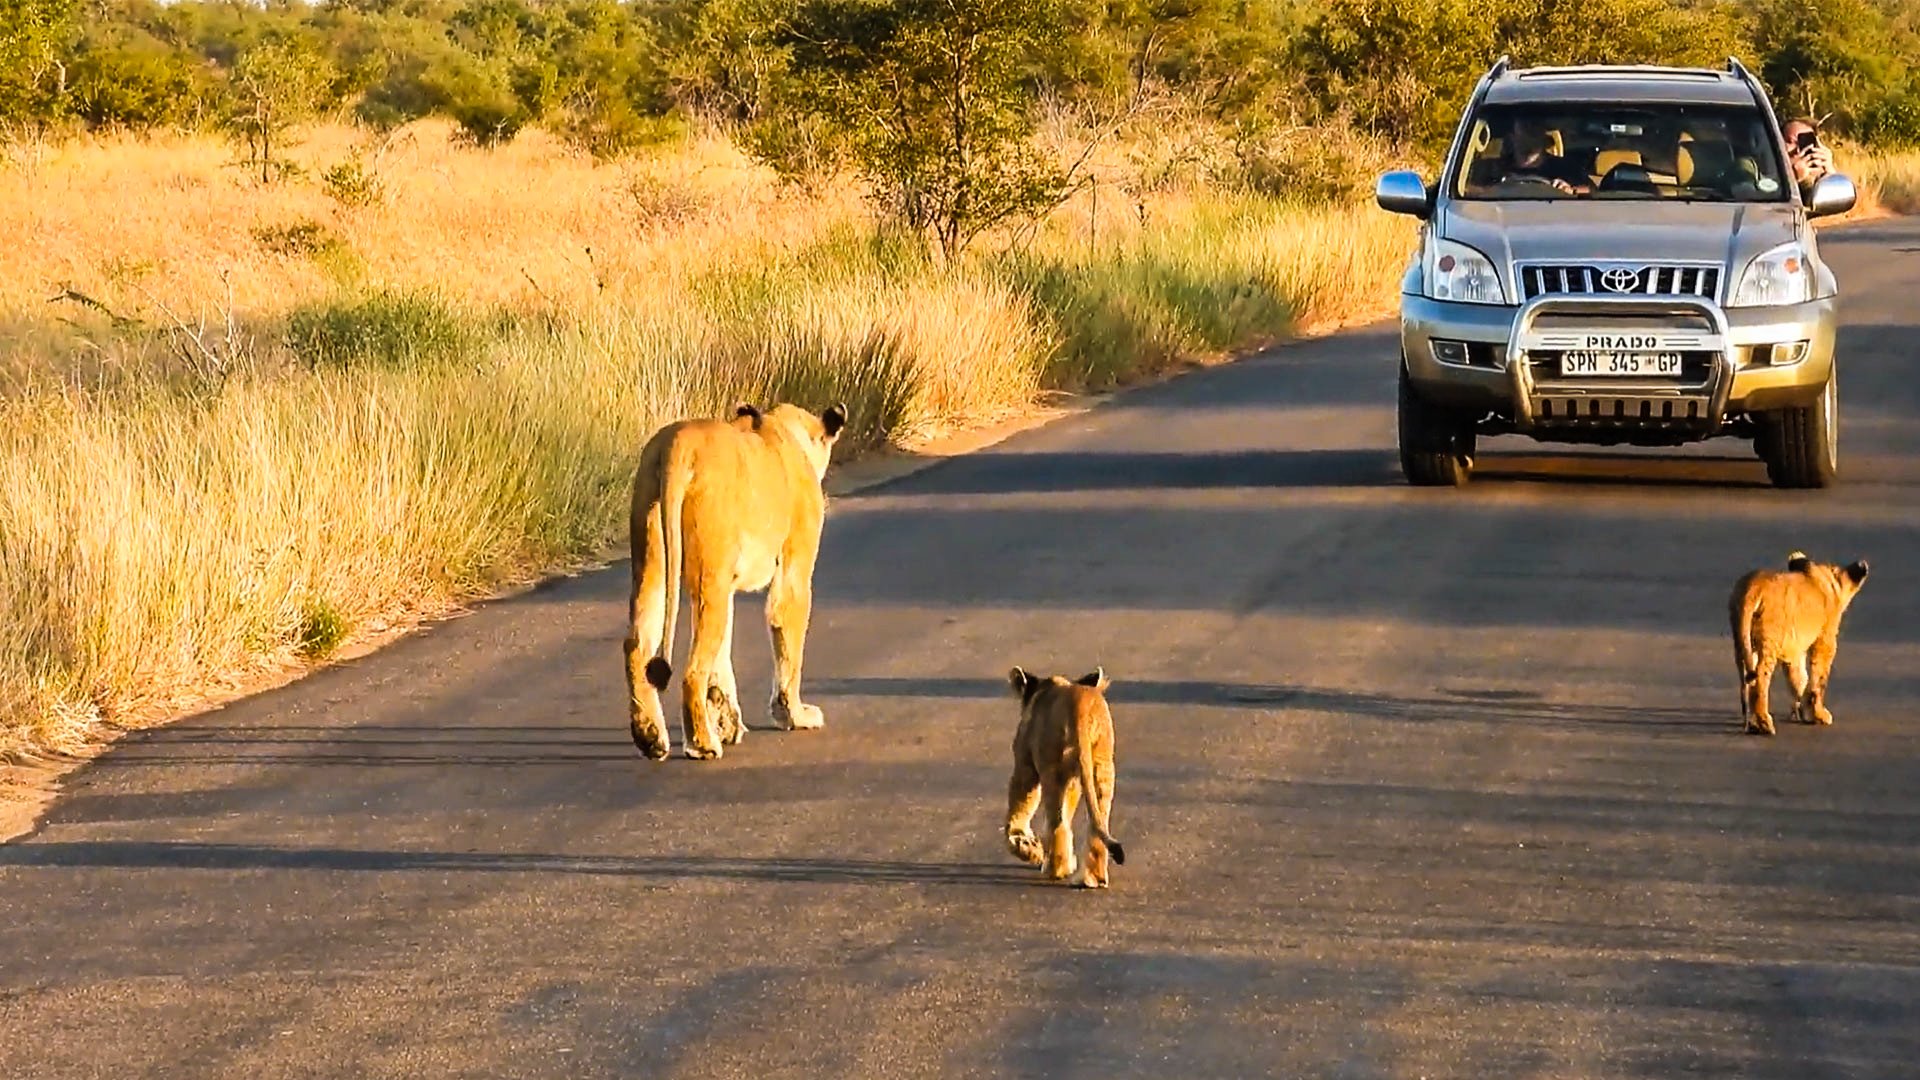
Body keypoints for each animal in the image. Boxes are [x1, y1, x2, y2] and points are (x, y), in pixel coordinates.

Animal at [622, 400, 848, 761]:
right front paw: (794, 715)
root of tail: (677, 442)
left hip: (654, 562)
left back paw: (651, 738)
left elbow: (724, 655)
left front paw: (727, 722)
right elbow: (789, 645)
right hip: (708, 572)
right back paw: (702, 744)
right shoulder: (794, 569)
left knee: (637, 645)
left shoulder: (726, 583)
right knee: (692, 669)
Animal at [1005, 666, 1127, 888]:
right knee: (1097, 822)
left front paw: (1025, 846)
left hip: (1052, 768)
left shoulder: (1025, 763)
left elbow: (1018, 808)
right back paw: (1093, 879)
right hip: (1101, 764)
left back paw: (1055, 870)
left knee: (1057, 823)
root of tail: (1079, 704)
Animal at [1730, 550, 1870, 736]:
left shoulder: (1794, 648)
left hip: (1743, 640)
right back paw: (1765, 724)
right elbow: (1819, 677)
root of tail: (1752, 586)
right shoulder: (1825, 639)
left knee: (1746, 680)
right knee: (1760, 678)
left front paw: (1803, 710)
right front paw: (1819, 714)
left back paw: (1752, 723)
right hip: (1769, 640)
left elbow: (1799, 677)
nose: (1862, 565)